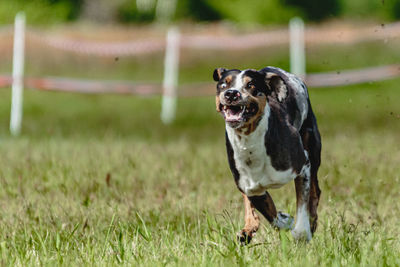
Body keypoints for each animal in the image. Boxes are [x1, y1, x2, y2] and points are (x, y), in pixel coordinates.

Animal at [212, 66, 322, 243]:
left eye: (251, 85)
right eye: (223, 84)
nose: (231, 93)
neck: (249, 141)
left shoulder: (303, 166)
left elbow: (303, 202)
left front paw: (301, 231)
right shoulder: (252, 189)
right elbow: (271, 214)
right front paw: (284, 220)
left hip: (313, 149)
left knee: (315, 191)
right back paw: (248, 229)